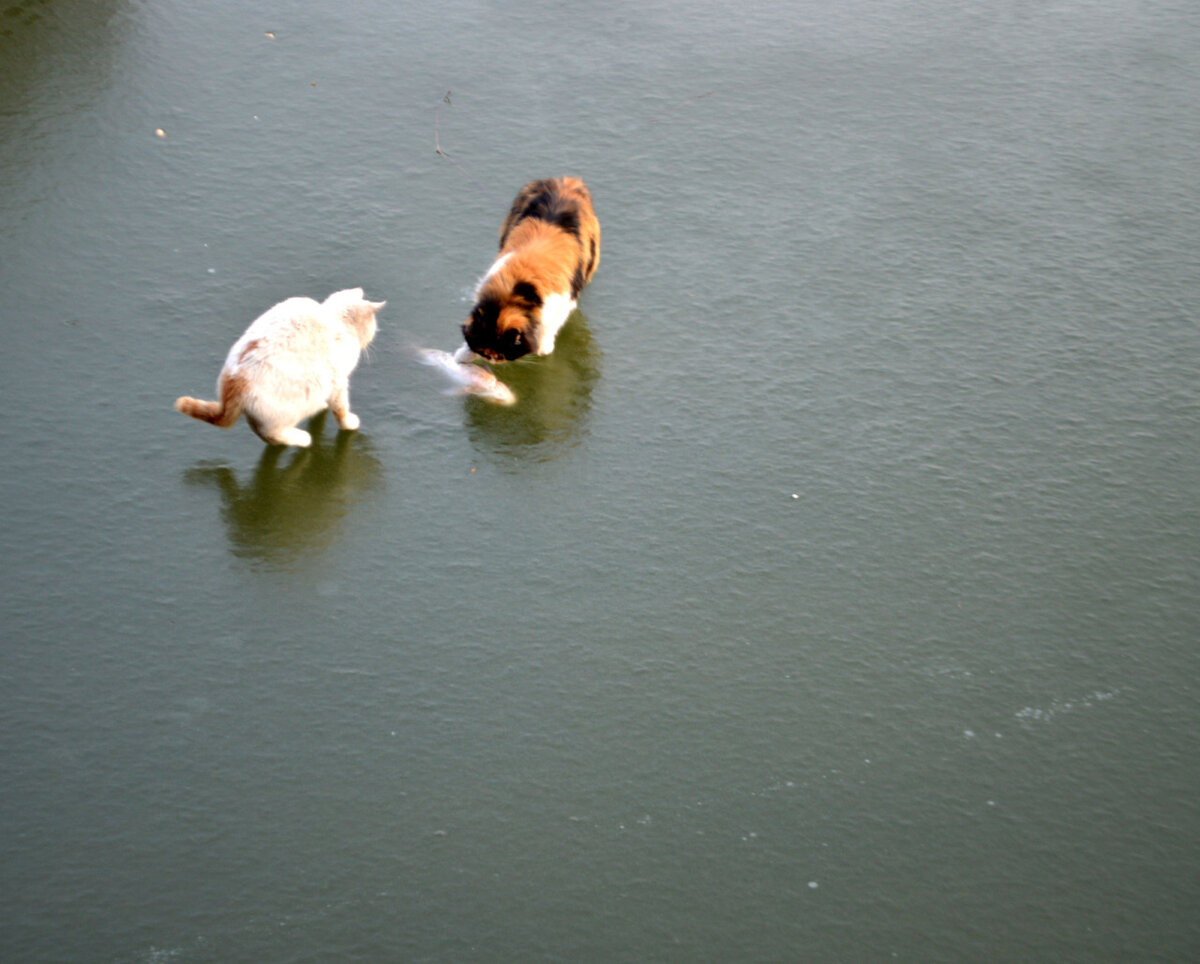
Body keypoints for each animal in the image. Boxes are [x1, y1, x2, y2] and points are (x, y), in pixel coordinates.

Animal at [171, 286, 379, 448]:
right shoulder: (338, 383)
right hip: (293, 407)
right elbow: (341, 410)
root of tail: (236, 381)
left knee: (261, 433)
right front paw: (349, 423)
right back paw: (302, 439)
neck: (334, 318)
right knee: (273, 435)